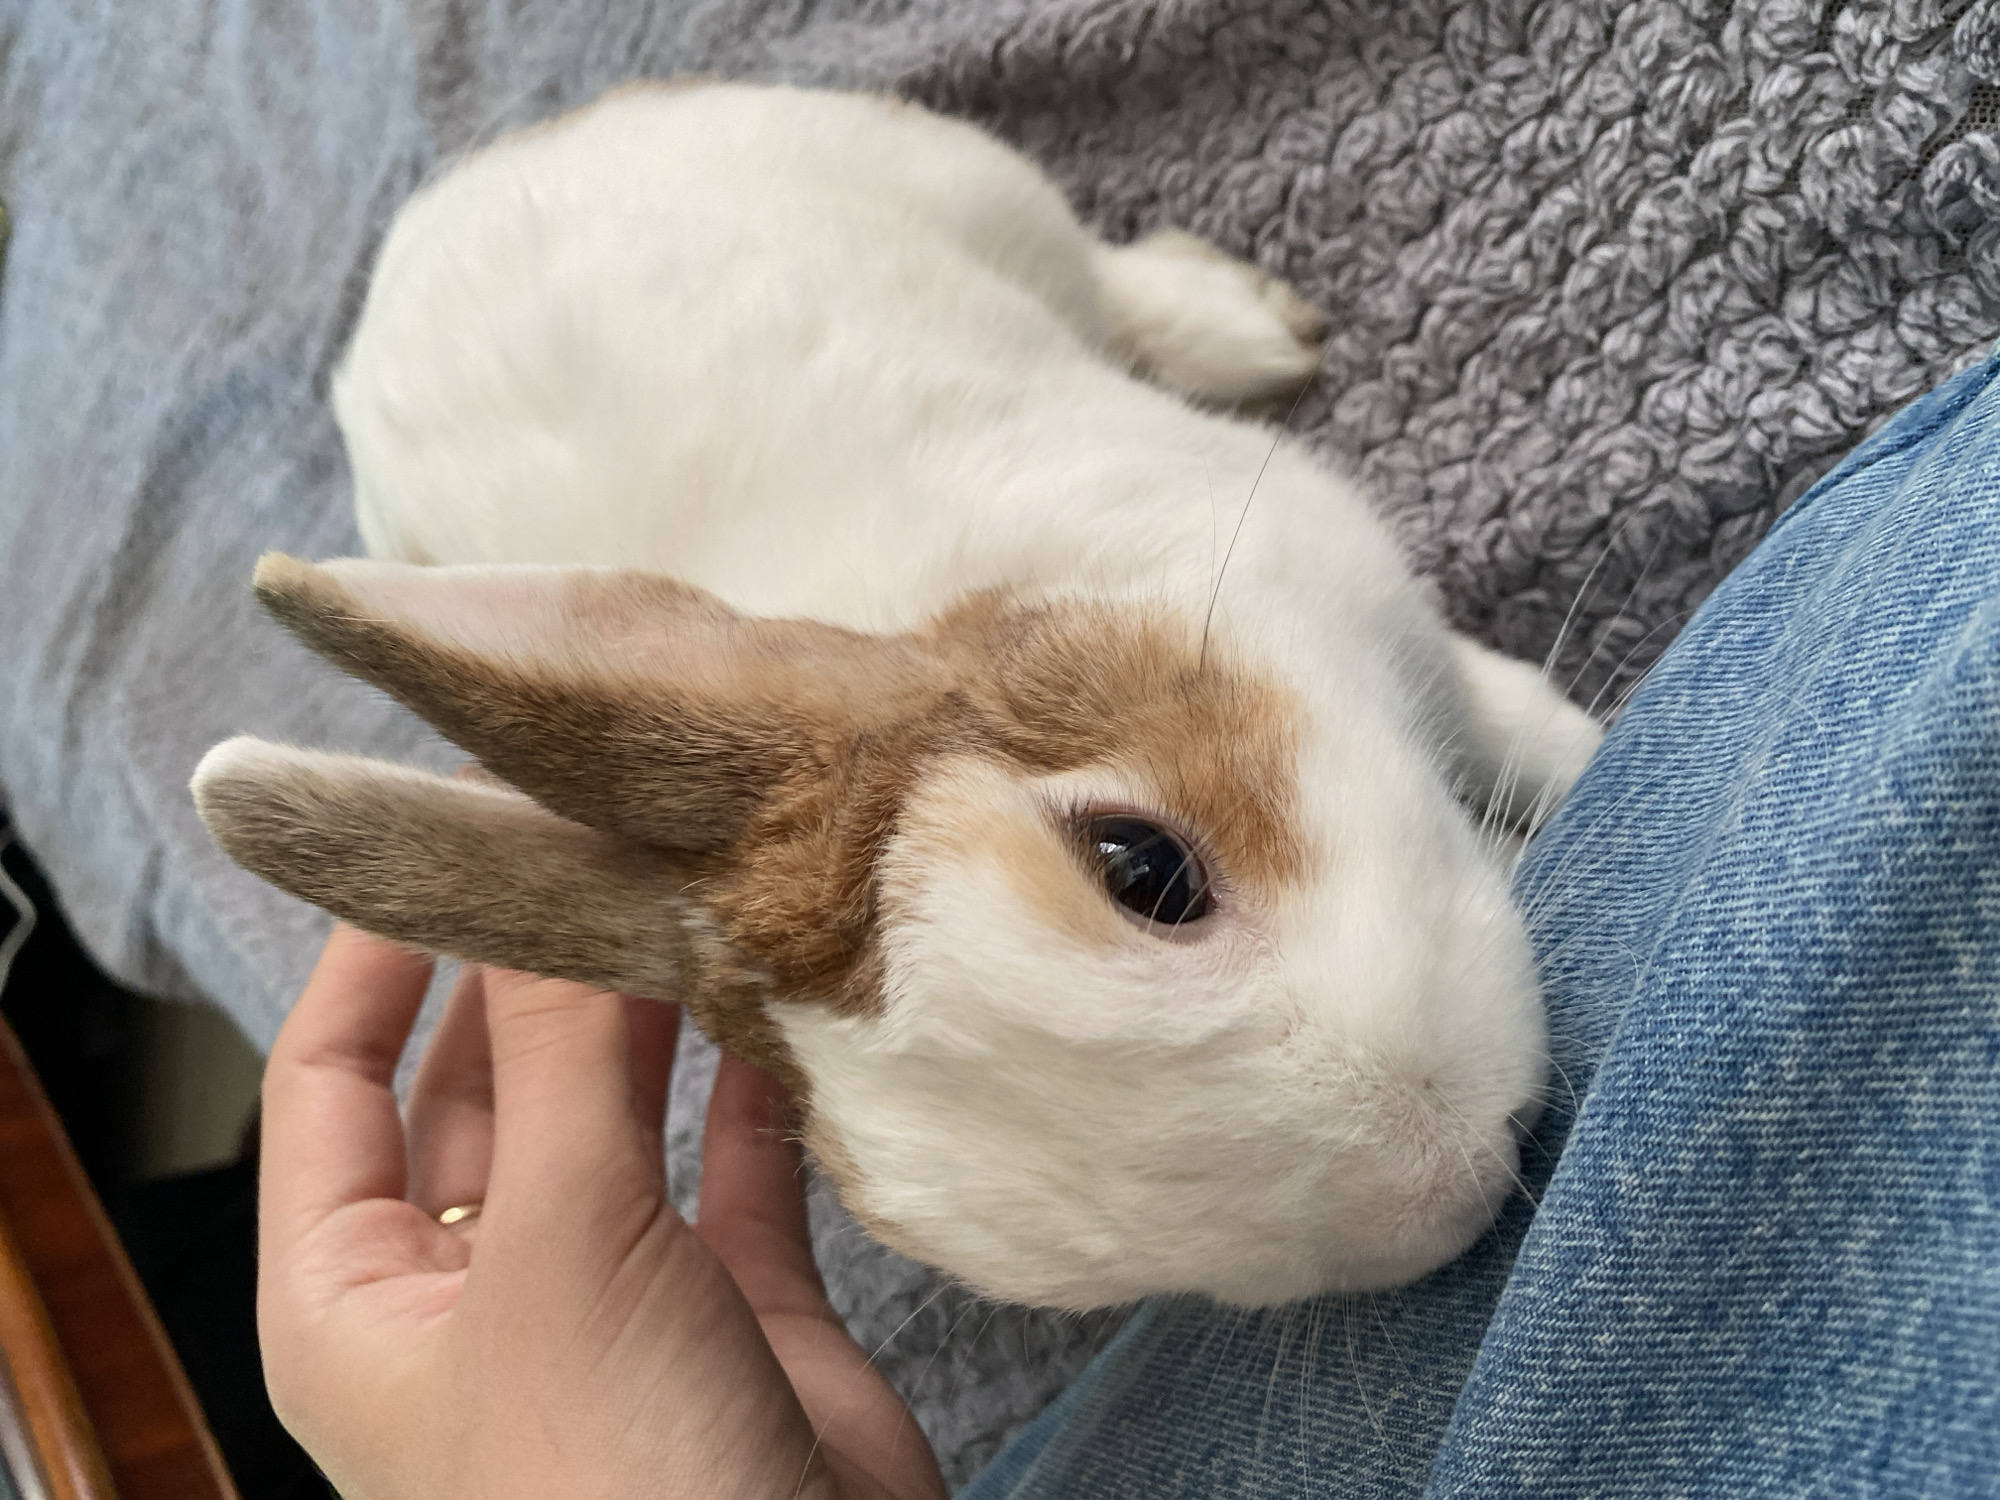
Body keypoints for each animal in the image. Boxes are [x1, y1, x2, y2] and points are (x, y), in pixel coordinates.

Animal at [192, 81, 1602, 1312]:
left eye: (1142, 868)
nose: (1461, 1163)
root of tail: (424, 233)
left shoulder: (1373, 599)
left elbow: (1507, 717)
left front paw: (1592, 756)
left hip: (963, 184)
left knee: (1104, 271)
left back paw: (1245, 328)